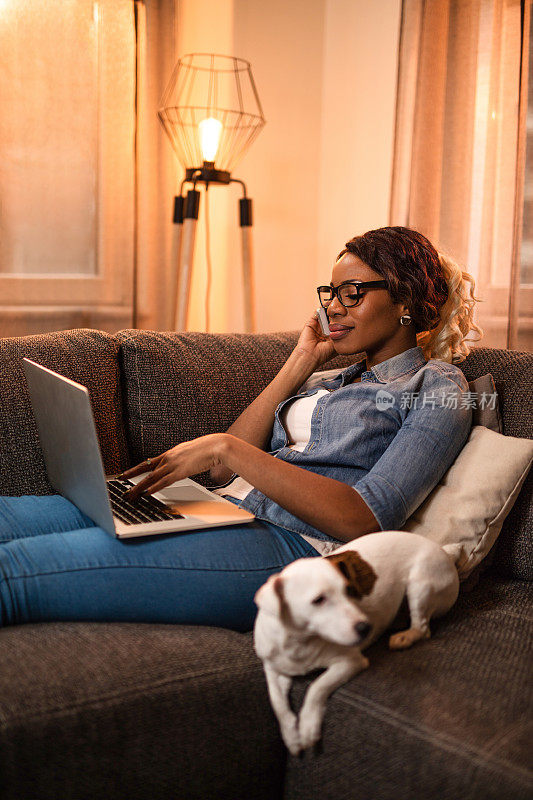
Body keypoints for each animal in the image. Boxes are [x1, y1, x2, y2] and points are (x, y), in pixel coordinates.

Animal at [251, 532, 460, 756]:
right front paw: (291, 736)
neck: (300, 642)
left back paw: (405, 637)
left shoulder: (349, 662)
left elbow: (316, 687)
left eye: (350, 590)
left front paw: (308, 726)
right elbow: (277, 702)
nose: (365, 628)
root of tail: (444, 551)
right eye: (318, 600)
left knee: (422, 627)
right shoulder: (274, 671)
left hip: (420, 586)